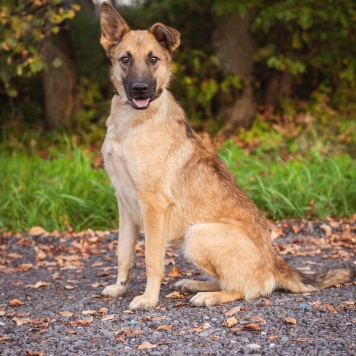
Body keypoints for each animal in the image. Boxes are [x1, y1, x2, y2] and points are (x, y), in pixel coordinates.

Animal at [98, 2, 354, 308]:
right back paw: (195, 284)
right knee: (233, 281)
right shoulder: (125, 203)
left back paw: (209, 296)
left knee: (247, 288)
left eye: (153, 59)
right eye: (125, 59)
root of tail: (272, 261)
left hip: (197, 235)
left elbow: (151, 260)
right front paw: (119, 288)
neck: (130, 123)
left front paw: (148, 299)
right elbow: (123, 254)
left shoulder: (152, 205)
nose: (140, 90)